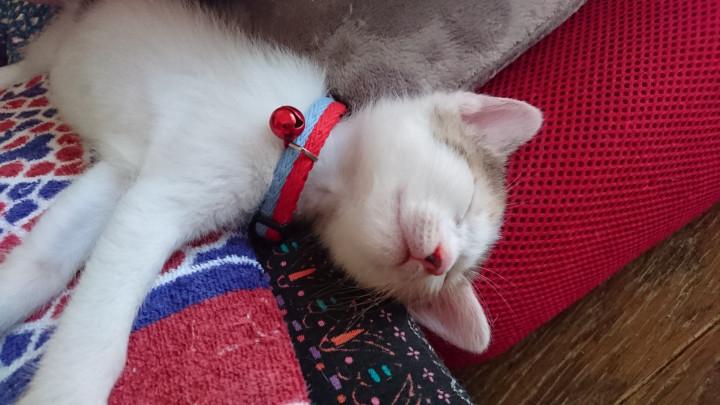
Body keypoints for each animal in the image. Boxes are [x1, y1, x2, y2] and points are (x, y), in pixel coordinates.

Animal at [0, 0, 542, 403]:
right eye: (466, 207)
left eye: (446, 280)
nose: (440, 260)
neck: (295, 150)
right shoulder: (158, 198)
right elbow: (97, 328)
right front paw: (65, 390)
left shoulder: (127, 175)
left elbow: (47, 263)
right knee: (35, 56)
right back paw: (10, 73)